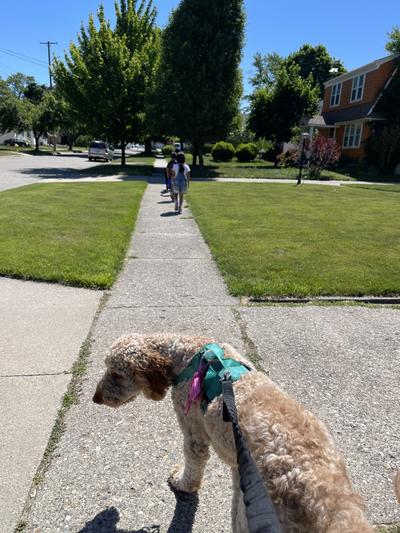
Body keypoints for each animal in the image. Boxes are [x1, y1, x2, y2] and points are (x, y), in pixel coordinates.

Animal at [91, 332, 372, 532]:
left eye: (116, 372)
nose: (95, 398)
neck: (185, 354)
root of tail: (327, 502)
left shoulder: (194, 432)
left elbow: (192, 467)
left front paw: (182, 484)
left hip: (247, 514)